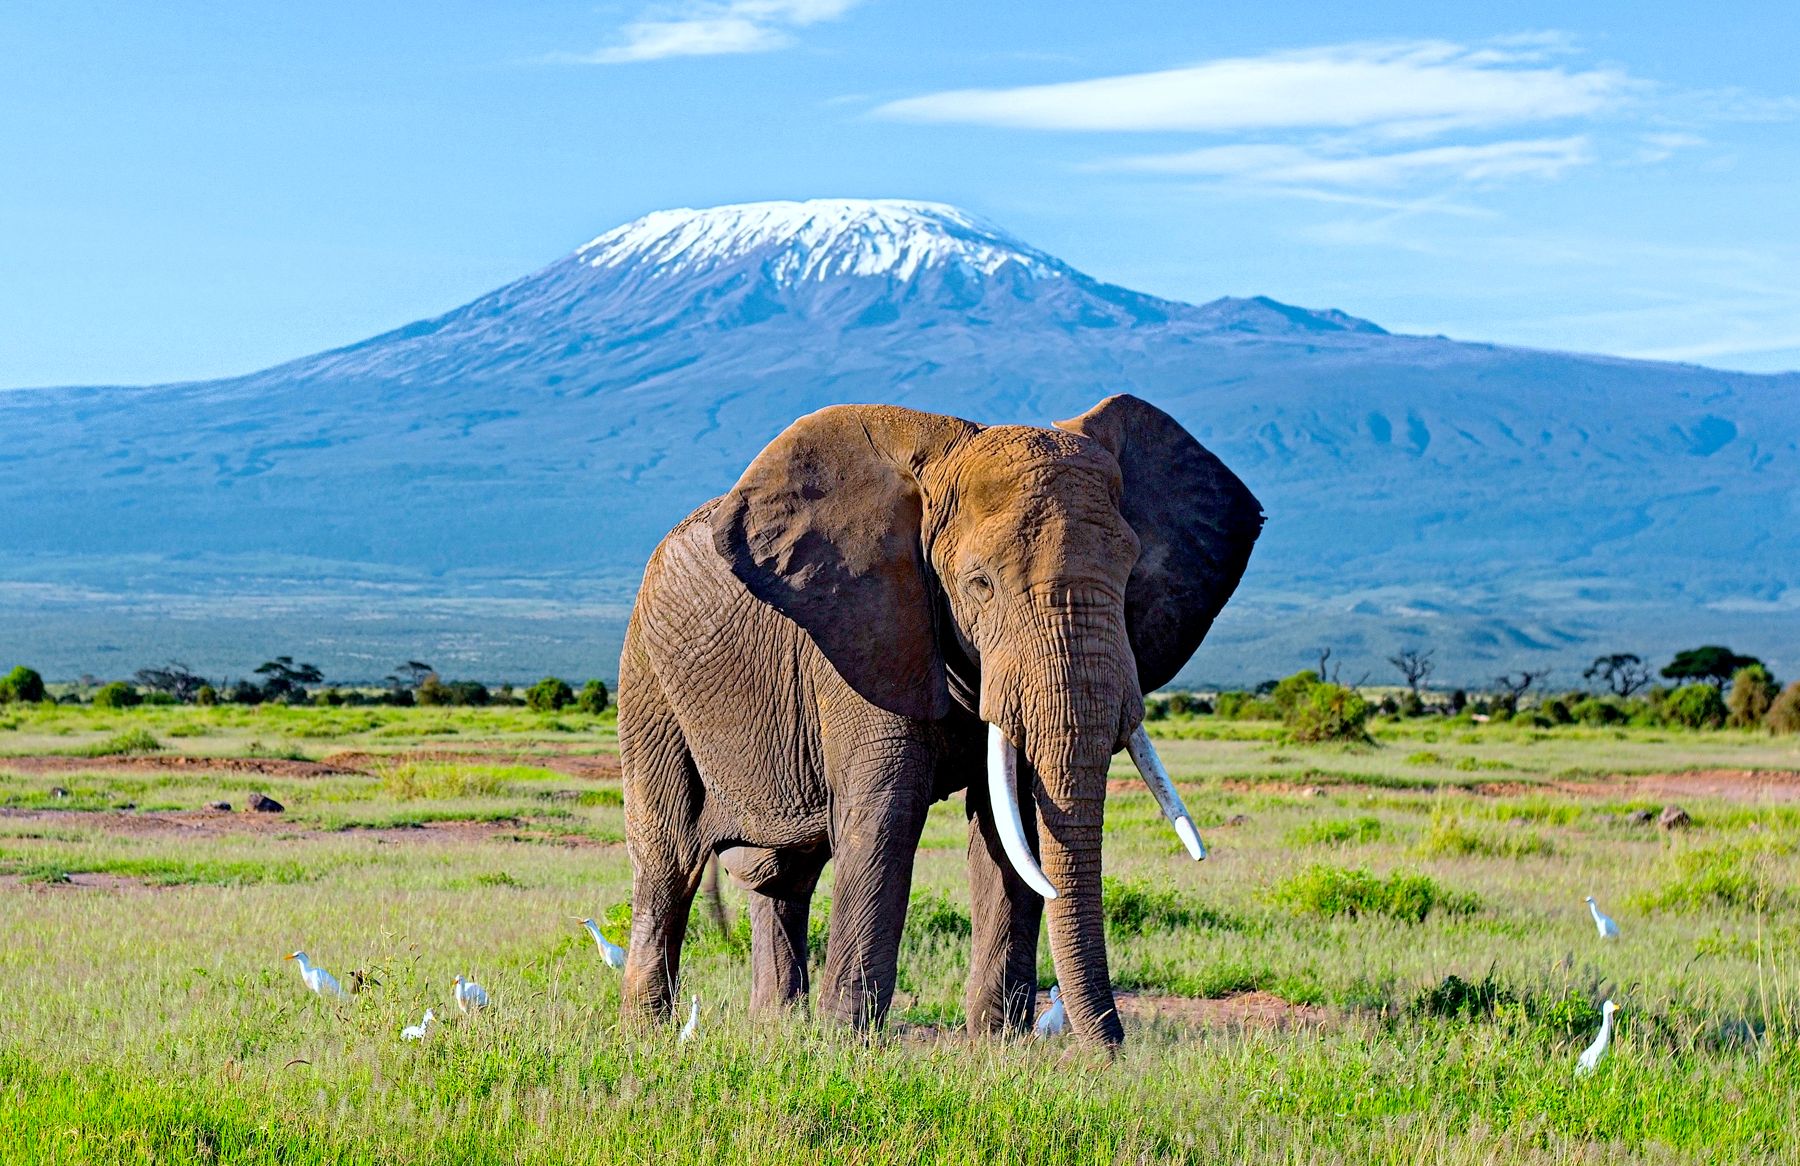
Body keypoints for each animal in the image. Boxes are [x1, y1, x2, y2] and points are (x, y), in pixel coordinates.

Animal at [616, 394, 1262, 1045]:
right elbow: (887, 813)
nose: (1111, 1053)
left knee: (783, 876)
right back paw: (649, 1035)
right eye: (979, 584)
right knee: (668, 858)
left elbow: (1010, 824)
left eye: (1130, 575)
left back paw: (778, 1030)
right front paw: (848, 1045)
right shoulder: (864, 634)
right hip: (647, 678)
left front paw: (999, 1046)